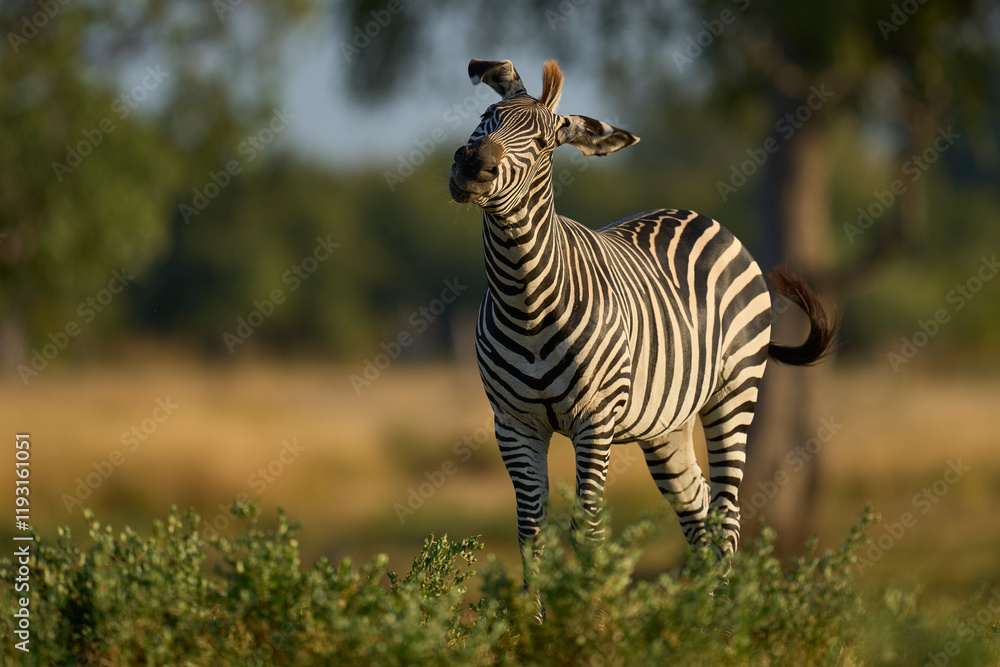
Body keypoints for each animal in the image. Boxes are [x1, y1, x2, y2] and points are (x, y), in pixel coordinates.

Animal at [448, 59, 836, 581]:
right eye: (487, 115)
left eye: (546, 143)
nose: (473, 166)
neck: (523, 297)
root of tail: (700, 217)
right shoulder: (512, 423)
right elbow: (530, 534)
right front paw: (534, 607)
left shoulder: (595, 420)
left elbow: (588, 531)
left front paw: (591, 605)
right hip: (668, 424)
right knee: (698, 509)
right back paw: (695, 601)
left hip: (734, 393)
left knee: (726, 515)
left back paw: (722, 605)